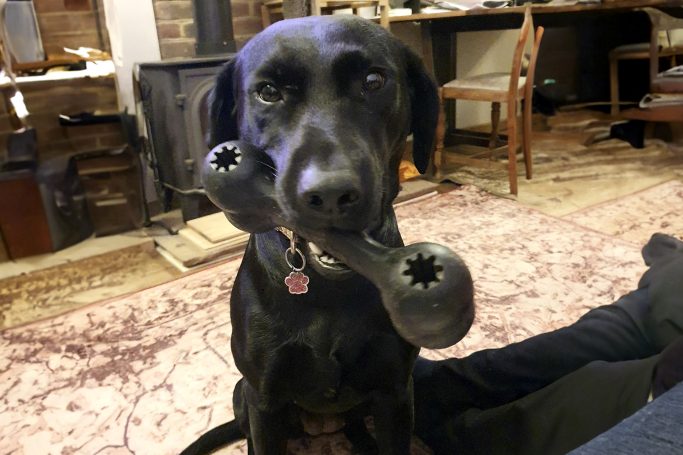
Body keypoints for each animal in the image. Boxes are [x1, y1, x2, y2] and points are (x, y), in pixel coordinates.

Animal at [183, 14, 460, 455]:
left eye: (373, 80)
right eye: (268, 91)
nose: (330, 193)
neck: (327, 287)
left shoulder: (396, 392)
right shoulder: (264, 399)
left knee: (355, 427)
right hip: (241, 396)